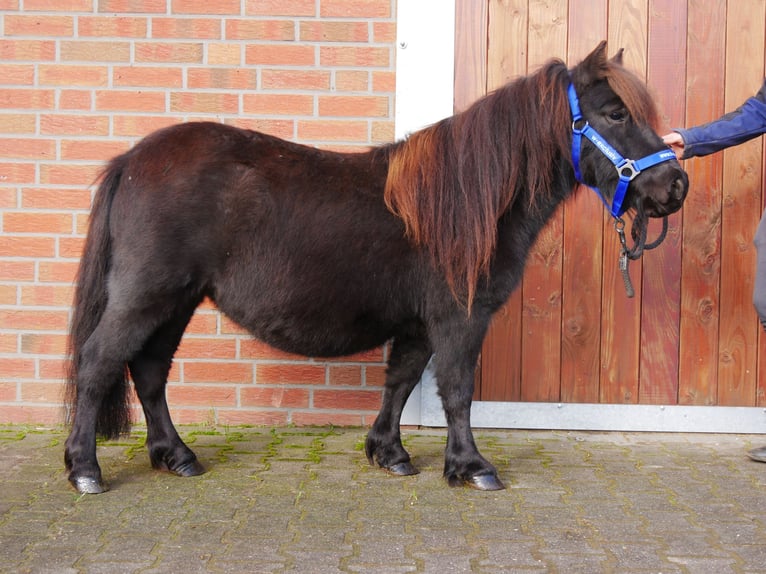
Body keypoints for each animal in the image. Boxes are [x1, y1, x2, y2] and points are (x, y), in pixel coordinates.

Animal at [64, 44, 688, 496]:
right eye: (614, 113)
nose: (675, 185)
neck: (464, 199)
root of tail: (131, 160)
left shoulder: (417, 323)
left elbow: (402, 380)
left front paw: (389, 453)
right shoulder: (460, 317)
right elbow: (456, 389)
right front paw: (471, 466)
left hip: (176, 301)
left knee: (148, 372)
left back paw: (177, 456)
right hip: (147, 296)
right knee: (99, 364)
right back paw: (85, 470)